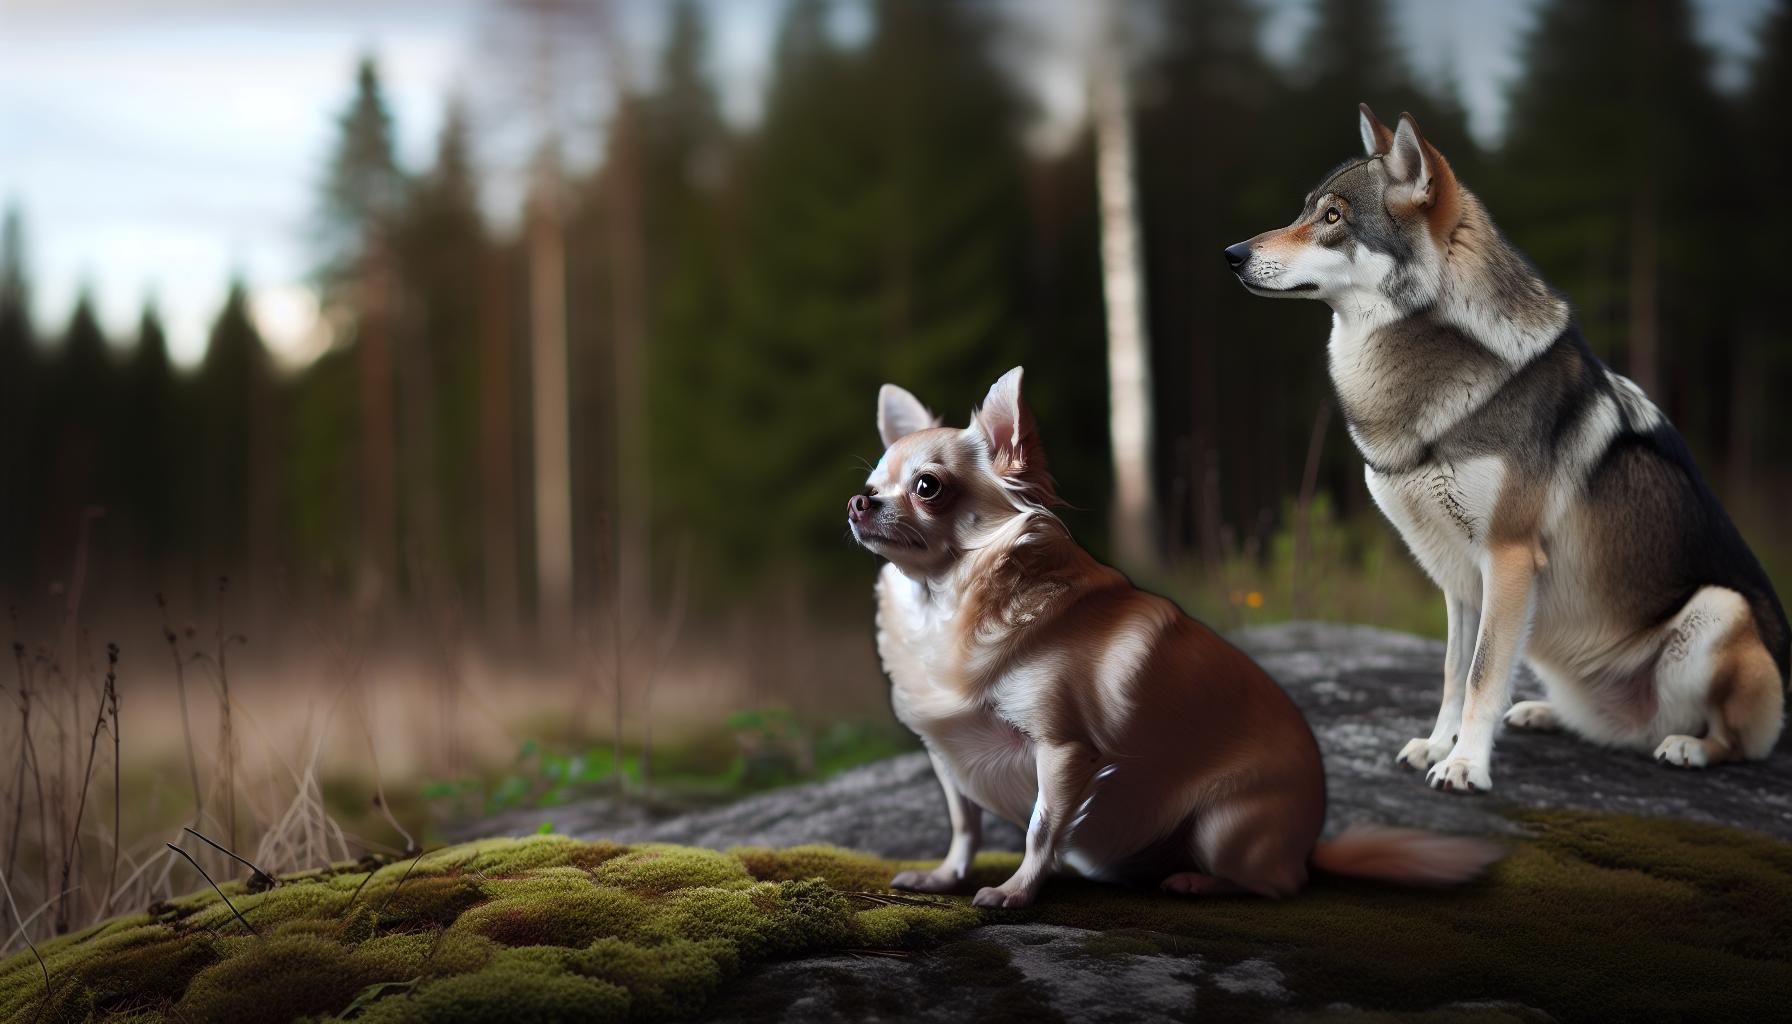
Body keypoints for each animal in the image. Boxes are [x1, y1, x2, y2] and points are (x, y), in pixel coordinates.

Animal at [850, 367, 1501, 907]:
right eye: (873, 483)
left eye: (928, 487)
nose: (860, 501)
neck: (945, 607)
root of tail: (1309, 846)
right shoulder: (948, 756)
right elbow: (965, 825)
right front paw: (944, 876)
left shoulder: (1062, 750)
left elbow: (1040, 828)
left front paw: (1015, 892)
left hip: (1224, 825)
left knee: (1277, 885)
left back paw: (1196, 881)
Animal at [1225, 104, 1788, 793]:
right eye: (1306, 210)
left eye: (1333, 217)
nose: (1232, 254)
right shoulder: (1458, 576)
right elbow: (1451, 672)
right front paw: (1437, 746)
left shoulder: (1508, 558)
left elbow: (1481, 674)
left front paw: (1466, 765)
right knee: (1622, 729)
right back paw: (1545, 714)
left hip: (1717, 611)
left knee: (1734, 741)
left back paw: (1688, 747)